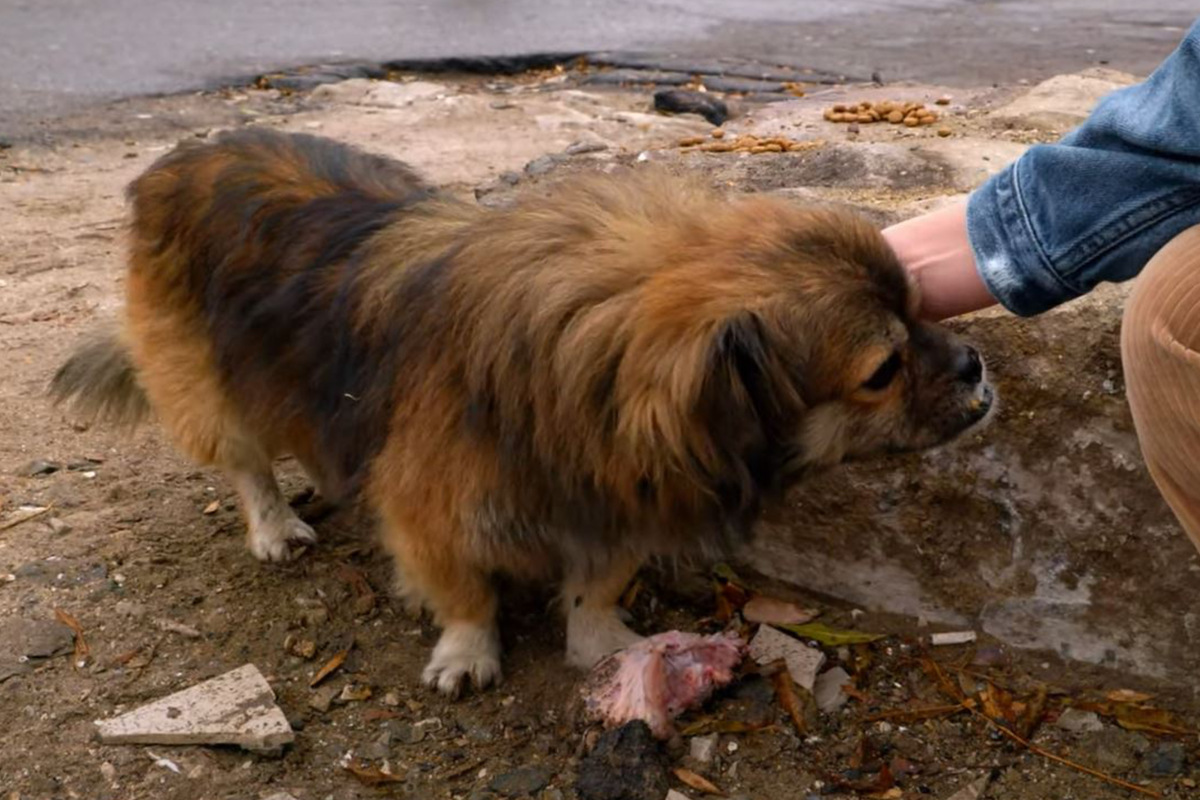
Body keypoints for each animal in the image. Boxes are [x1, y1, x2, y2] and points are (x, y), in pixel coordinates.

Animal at [54, 130, 993, 695]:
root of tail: (180, 157)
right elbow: (464, 589)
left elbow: (597, 581)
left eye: (920, 308)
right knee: (246, 462)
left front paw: (600, 639)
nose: (978, 364)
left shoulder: (615, 500)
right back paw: (276, 524)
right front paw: (468, 650)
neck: (576, 375)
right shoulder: (433, 516)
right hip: (207, 387)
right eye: (883, 370)